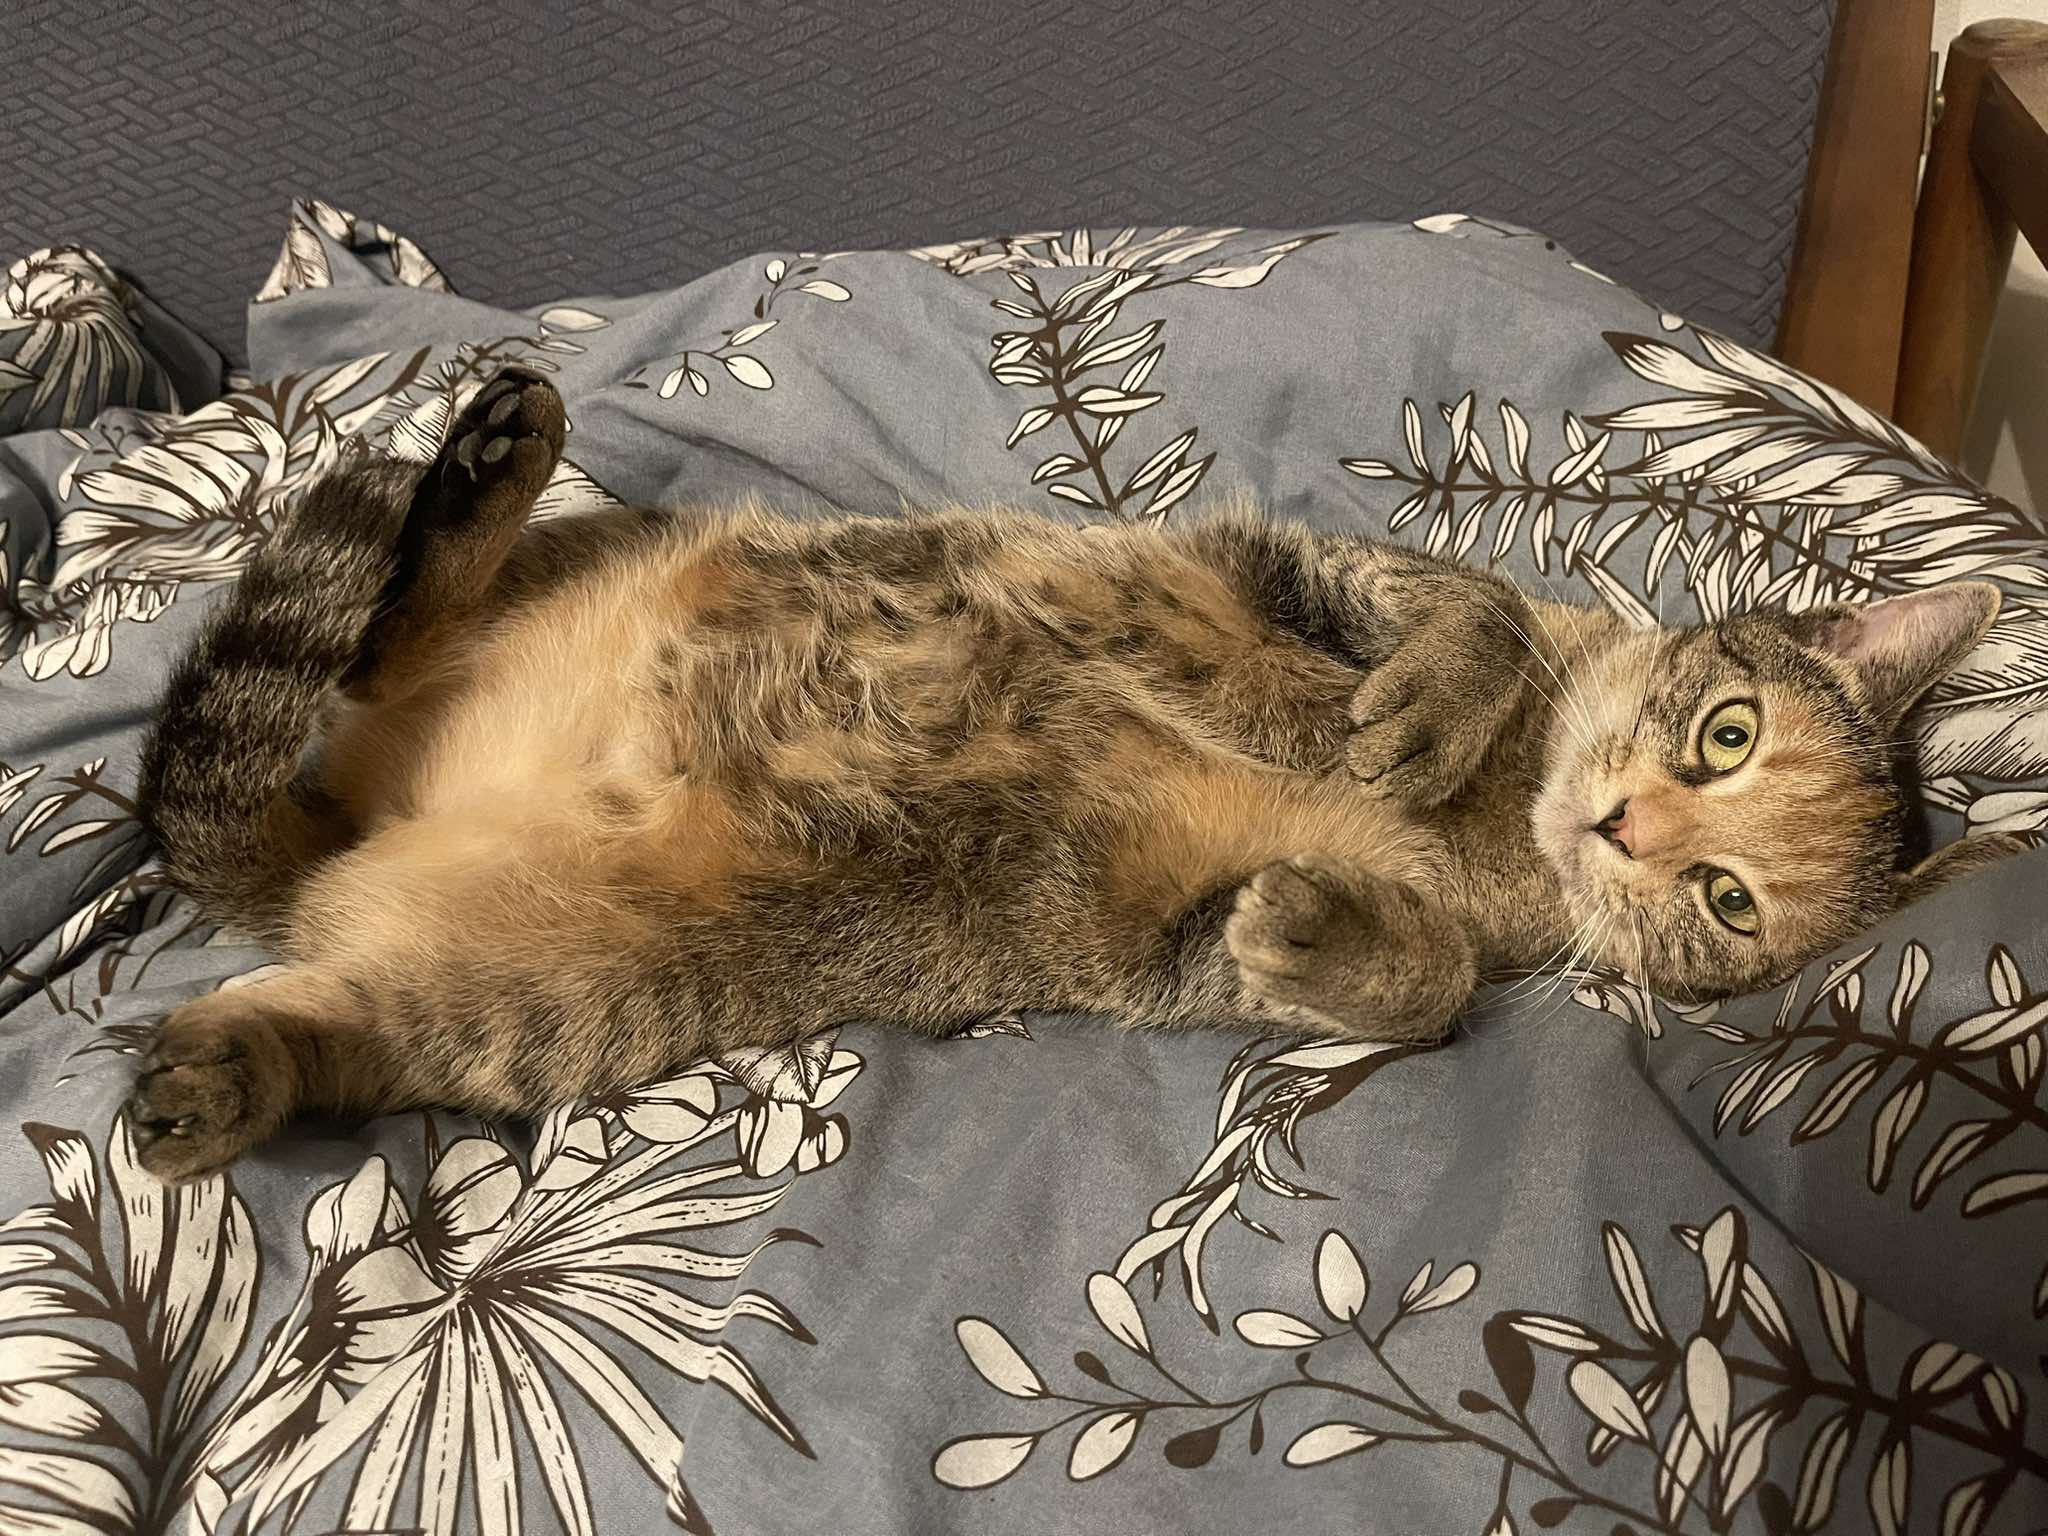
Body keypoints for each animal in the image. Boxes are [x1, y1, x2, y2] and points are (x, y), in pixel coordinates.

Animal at [126, 367, 2020, 1181]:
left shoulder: (1166, 938)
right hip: (576, 579)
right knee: (389, 625)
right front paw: (1380, 715)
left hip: (525, 1005)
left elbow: (1408, 985)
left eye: (1728, 899)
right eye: (1725, 731)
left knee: (336, 1011)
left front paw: (1336, 928)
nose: (1627, 825)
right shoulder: (1279, 564)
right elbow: (1437, 619)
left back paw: (219, 1079)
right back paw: (488, 462)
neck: (1515, 819)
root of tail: (359, 828)